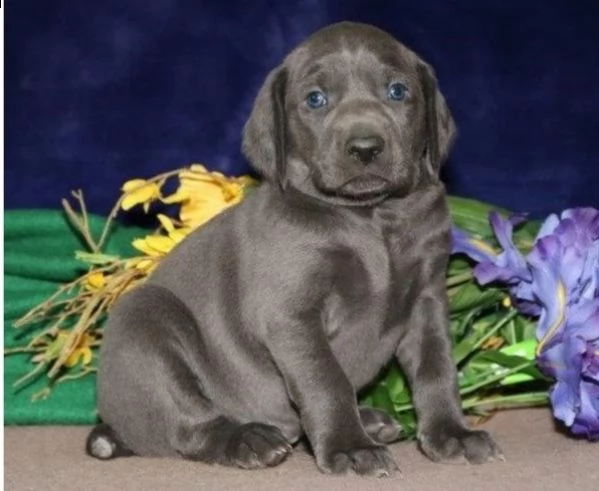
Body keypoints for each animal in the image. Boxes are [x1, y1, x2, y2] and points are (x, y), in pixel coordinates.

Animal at [88, 22, 502, 476]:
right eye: (315, 99)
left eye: (397, 90)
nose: (365, 147)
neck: (372, 219)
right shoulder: (292, 314)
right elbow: (325, 379)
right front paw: (351, 448)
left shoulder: (427, 299)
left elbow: (437, 368)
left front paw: (452, 434)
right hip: (146, 318)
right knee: (190, 424)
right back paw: (248, 439)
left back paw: (369, 420)